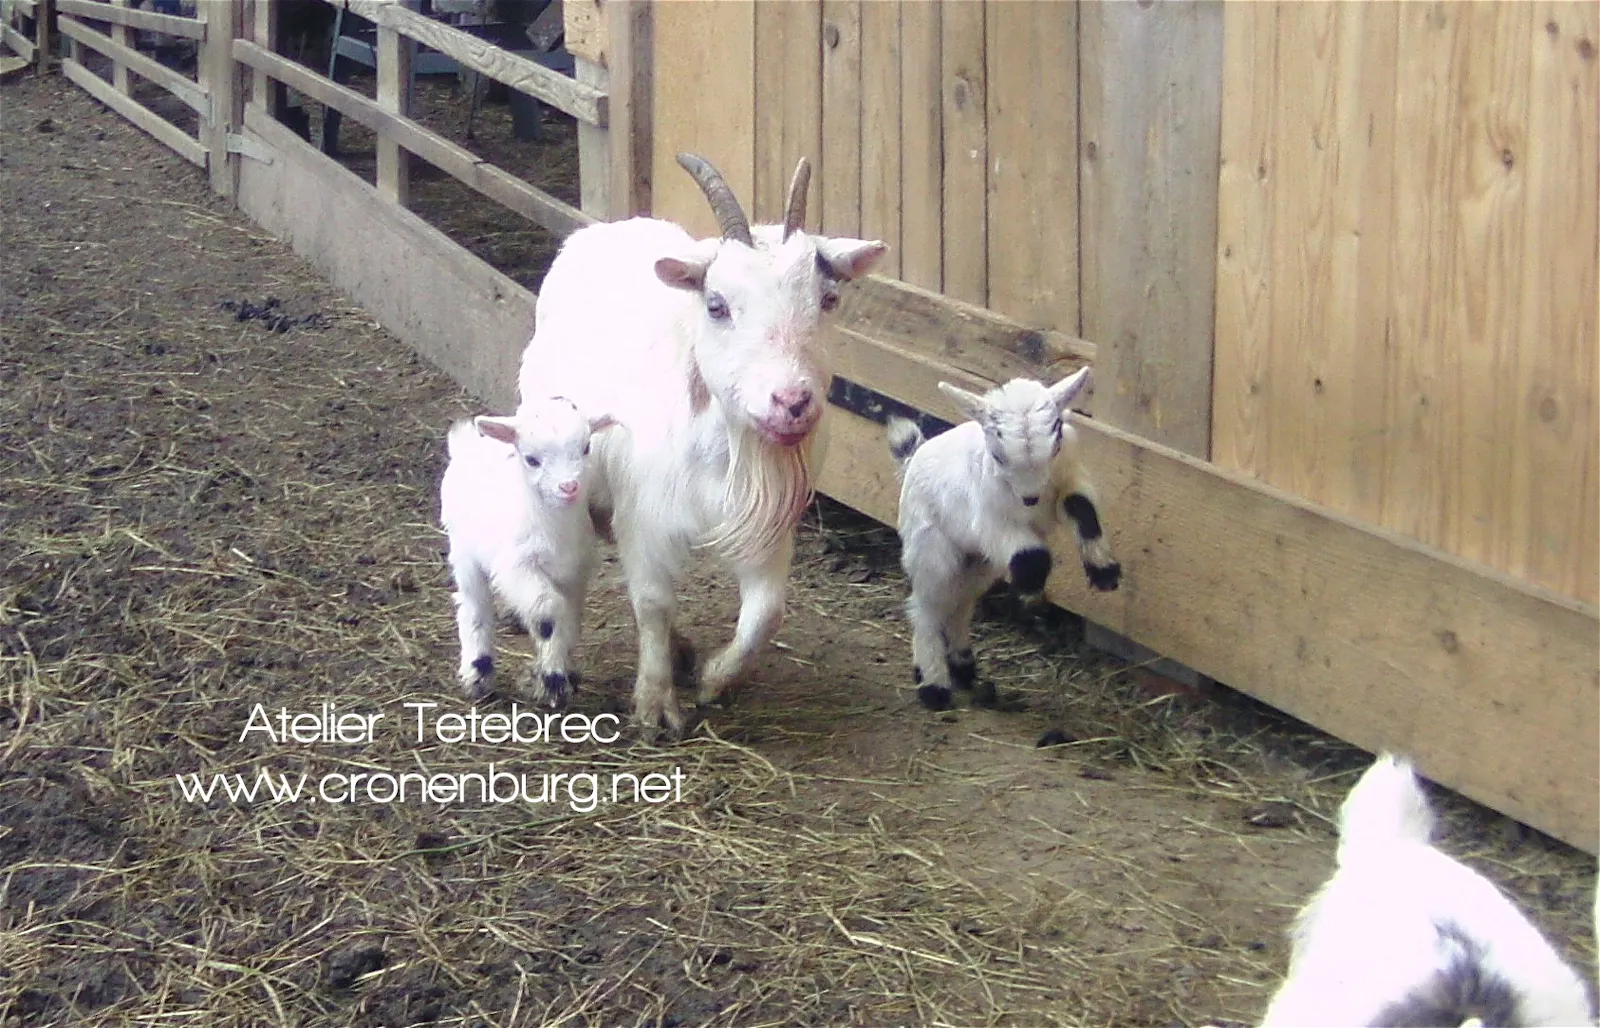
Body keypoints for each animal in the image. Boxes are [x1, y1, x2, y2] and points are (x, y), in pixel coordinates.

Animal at [439, 396, 615, 706]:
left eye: (586, 447)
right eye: (532, 459)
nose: (569, 487)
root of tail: (466, 444)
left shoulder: (576, 572)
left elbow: (568, 620)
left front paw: (560, 671)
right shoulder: (515, 566)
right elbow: (548, 611)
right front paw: (553, 680)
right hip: (463, 551)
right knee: (473, 606)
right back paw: (478, 671)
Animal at [516, 154, 887, 733]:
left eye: (828, 299)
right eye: (716, 305)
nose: (791, 402)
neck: (721, 452)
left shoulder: (770, 523)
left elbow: (766, 613)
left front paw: (714, 679)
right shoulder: (645, 517)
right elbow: (651, 602)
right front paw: (654, 704)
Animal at [886, 368, 1120, 710]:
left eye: (1056, 442)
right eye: (998, 455)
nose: (1030, 497)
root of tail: (913, 458)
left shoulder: (1070, 479)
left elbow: (1083, 509)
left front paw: (1104, 572)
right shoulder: (990, 522)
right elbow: (1033, 556)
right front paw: (1033, 603)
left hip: (977, 563)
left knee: (961, 602)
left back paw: (964, 668)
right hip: (931, 547)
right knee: (928, 606)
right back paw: (933, 685)